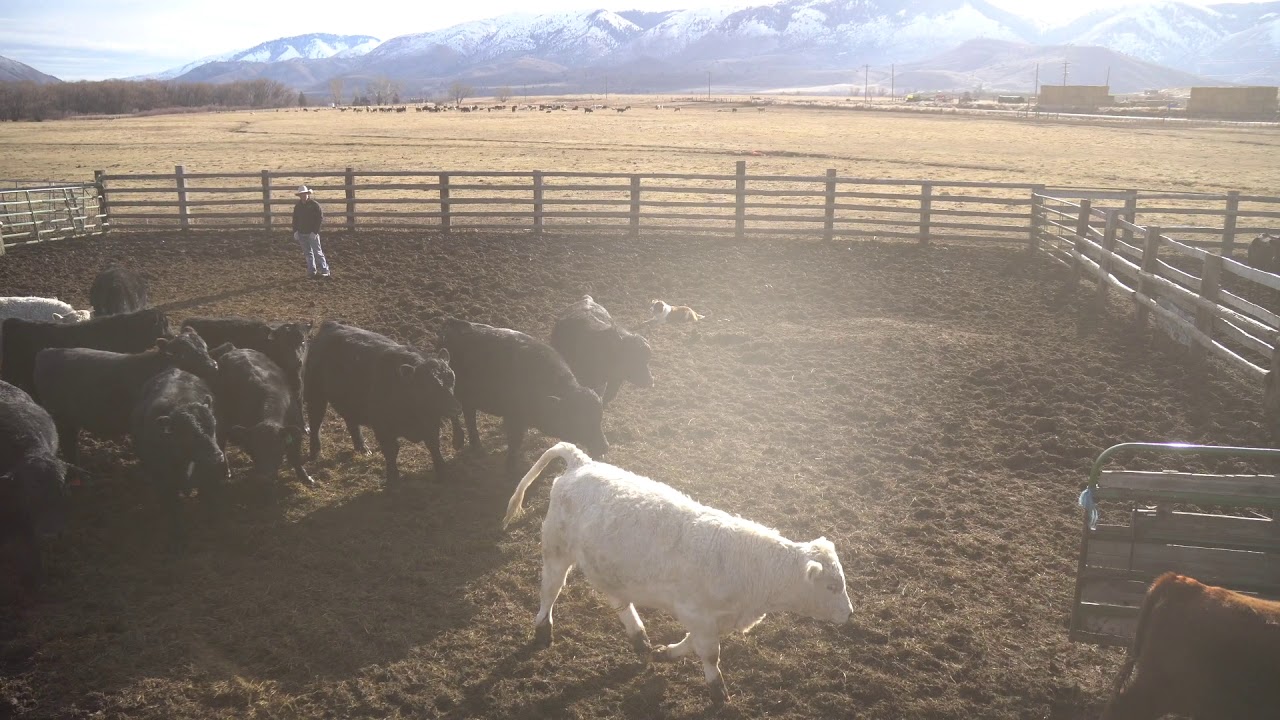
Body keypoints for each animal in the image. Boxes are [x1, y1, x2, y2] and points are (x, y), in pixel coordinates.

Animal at [131, 368, 225, 544]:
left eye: (213, 427)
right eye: (188, 434)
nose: (217, 457)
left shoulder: (208, 477)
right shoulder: (163, 482)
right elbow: (174, 512)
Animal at [213, 348, 311, 486]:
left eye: (276, 449)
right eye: (255, 451)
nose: (264, 476)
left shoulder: (296, 432)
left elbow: (295, 458)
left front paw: (305, 477)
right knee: (221, 444)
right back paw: (227, 471)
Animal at [303, 321, 458, 484]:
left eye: (452, 378)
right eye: (428, 386)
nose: (454, 408)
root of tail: (331, 325)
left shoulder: (432, 423)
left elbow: (433, 445)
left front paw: (443, 470)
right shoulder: (383, 427)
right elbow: (391, 451)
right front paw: (393, 479)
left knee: (351, 422)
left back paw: (362, 448)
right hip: (316, 396)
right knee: (315, 422)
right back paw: (315, 452)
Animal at [439, 317, 607, 473]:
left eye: (599, 418)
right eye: (580, 422)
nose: (604, 447)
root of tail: (453, 324)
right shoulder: (513, 418)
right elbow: (515, 441)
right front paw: (511, 469)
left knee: (469, 416)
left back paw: (478, 448)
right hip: (453, 391)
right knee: (457, 414)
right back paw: (460, 442)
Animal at [503, 442, 853, 703]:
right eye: (831, 586)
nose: (850, 614)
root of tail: (581, 463)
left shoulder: (716, 619)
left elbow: (691, 644)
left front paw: (666, 654)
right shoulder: (698, 614)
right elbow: (710, 654)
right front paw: (718, 692)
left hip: (608, 567)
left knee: (617, 599)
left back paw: (640, 638)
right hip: (556, 549)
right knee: (550, 588)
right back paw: (543, 628)